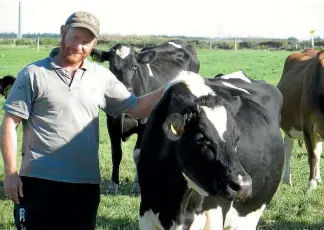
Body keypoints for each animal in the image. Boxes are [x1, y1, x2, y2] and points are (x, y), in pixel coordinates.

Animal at [90, 40, 199, 194]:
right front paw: (113, 185)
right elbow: (116, 154)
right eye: (112, 66)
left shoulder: (144, 124)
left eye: (134, 66)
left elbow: (138, 154)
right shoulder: (112, 123)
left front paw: (137, 186)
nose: (125, 88)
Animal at [276, 48, 324, 189]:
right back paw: (286, 179)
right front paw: (311, 184)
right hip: (288, 126)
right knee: (288, 148)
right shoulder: (307, 125)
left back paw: (318, 178)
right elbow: (312, 156)